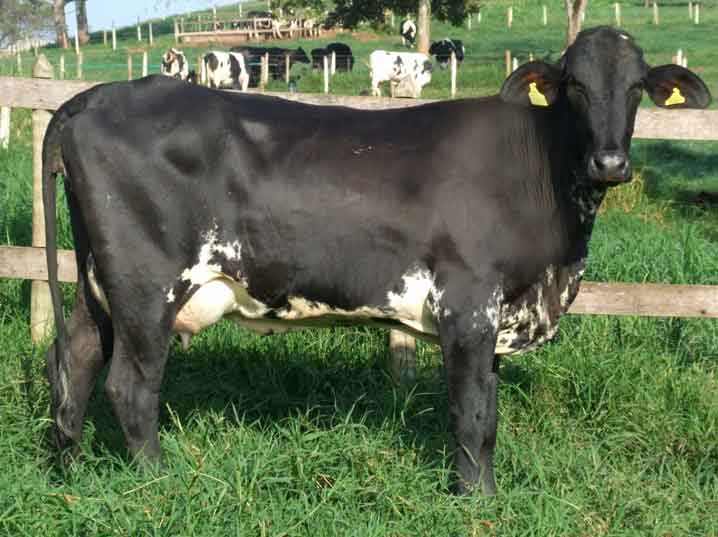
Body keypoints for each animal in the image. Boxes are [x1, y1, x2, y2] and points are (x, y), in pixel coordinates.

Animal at [43, 27, 710, 495]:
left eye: (637, 87)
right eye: (574, 86)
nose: (610, 163)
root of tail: (93, 98)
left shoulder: (494, 317)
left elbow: (490, 412)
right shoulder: (470, 304)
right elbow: (472, 414)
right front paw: (479, 503)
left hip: (99, 281)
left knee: (75, 355)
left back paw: (70, 471)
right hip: (145, 284)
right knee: (130, 385)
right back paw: (161, 482)